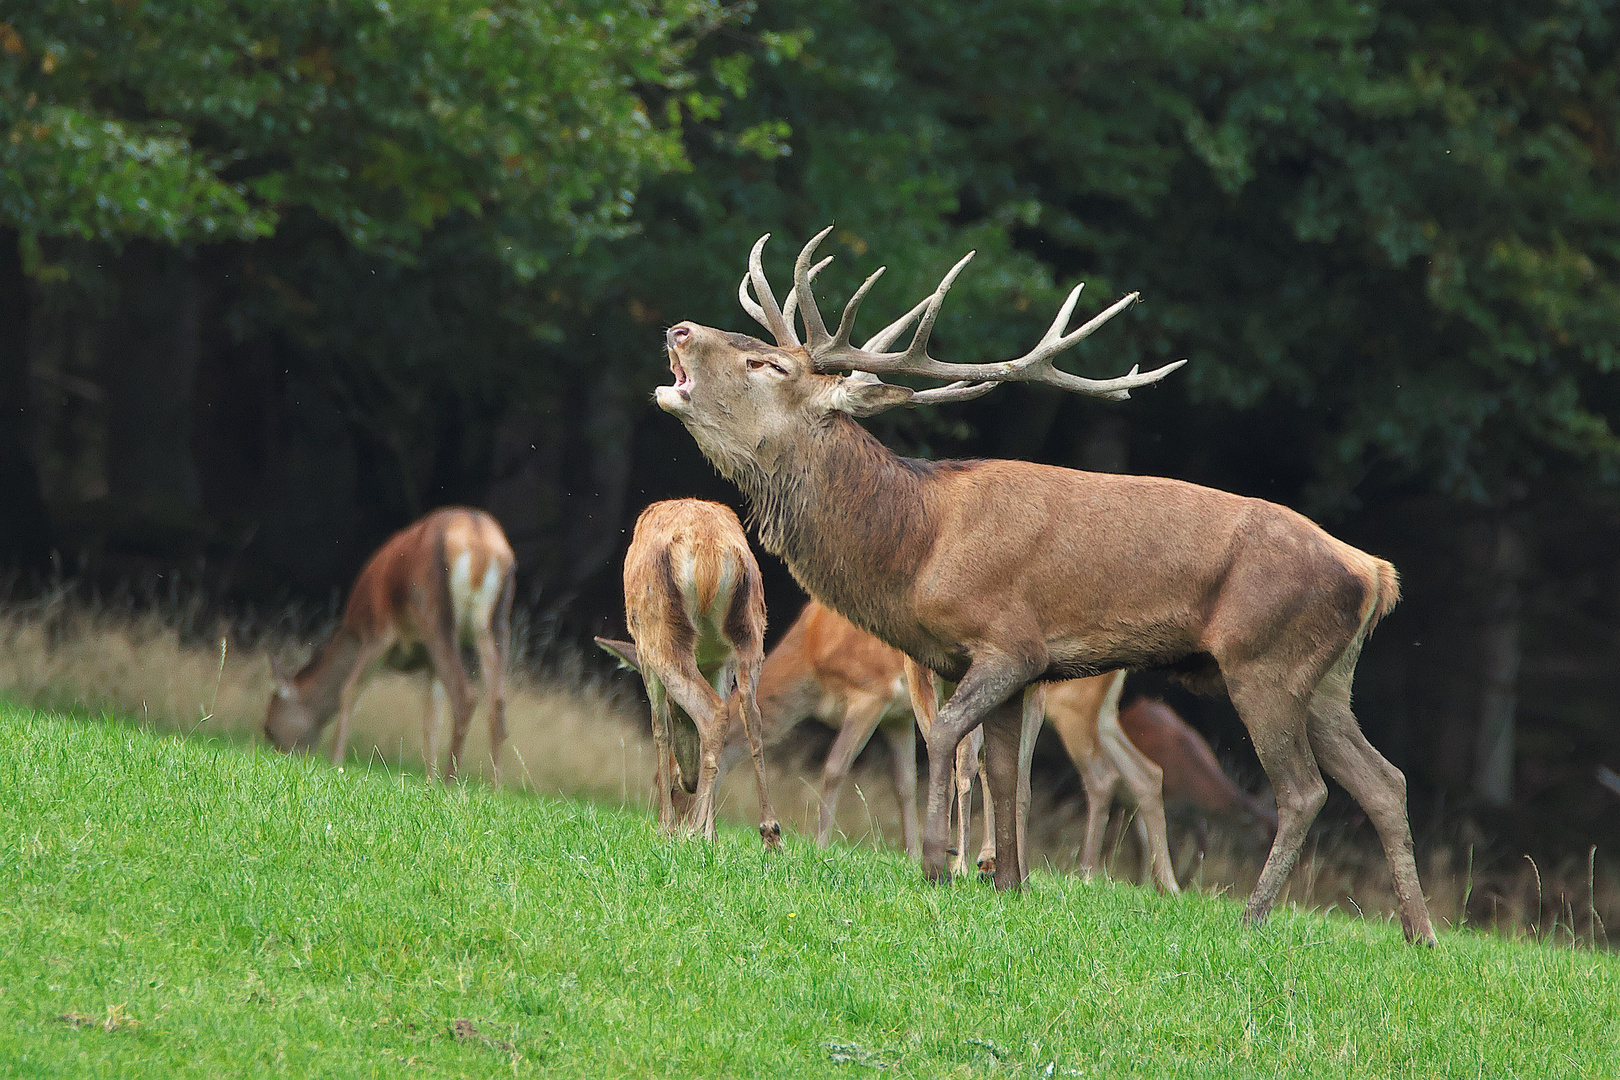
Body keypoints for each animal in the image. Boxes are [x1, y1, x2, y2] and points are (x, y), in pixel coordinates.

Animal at [265, 508, 515, 786]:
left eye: (269, 727)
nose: (278, 755)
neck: (353, 632)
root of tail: (480, 543)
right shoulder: (429, 661)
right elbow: (432, 720)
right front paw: (429, 779)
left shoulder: (379, 634)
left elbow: (348, 690)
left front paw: (336, 761)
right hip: (496, 623)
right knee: (497, 702)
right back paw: (494, 786)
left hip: (435, 614)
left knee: (466, 696)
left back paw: (451, 781)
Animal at [599, 501, 780, 854]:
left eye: (675, 709)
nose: (688, 781)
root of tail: (711, 551)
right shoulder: (719, 661)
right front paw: (713, 833)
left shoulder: (645, 655)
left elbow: (659, 729)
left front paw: (665, 828)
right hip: (751, 631)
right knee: (749, 714)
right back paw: (770, 834)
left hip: (661, 632)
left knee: (712, 712)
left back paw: (691, 831)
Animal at [651, 229, 1438, 945]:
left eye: (768, 362)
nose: (679, 328)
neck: (915, 546)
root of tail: (1375, 573)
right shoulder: (1005, 669)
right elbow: (1003, 768)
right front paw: (1007, 880)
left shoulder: (1009, 644)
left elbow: (948, 736)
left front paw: (936, 864)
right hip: (1325, 678)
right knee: (1385, 780)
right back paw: (1418, 933)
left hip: (1264, 660)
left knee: (1304, 790)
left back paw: (1252, 919)